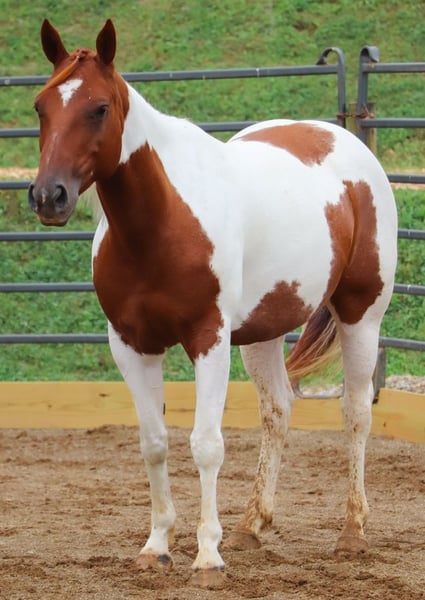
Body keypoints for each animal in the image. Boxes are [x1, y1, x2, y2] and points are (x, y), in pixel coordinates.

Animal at [29, 19, 398, 588]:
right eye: (41, 107)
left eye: (99, 108)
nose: (50, 196)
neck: (160, 223)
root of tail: (345, 140)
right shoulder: (131, 345)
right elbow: (154, 442)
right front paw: (157, 547)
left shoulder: (209, 339)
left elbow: (206, 445)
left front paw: (207, 556)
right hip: (264, 331)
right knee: (278, 410)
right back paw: (251, 526)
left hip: (362, 314)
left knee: (355, 412)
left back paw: (352, 533)